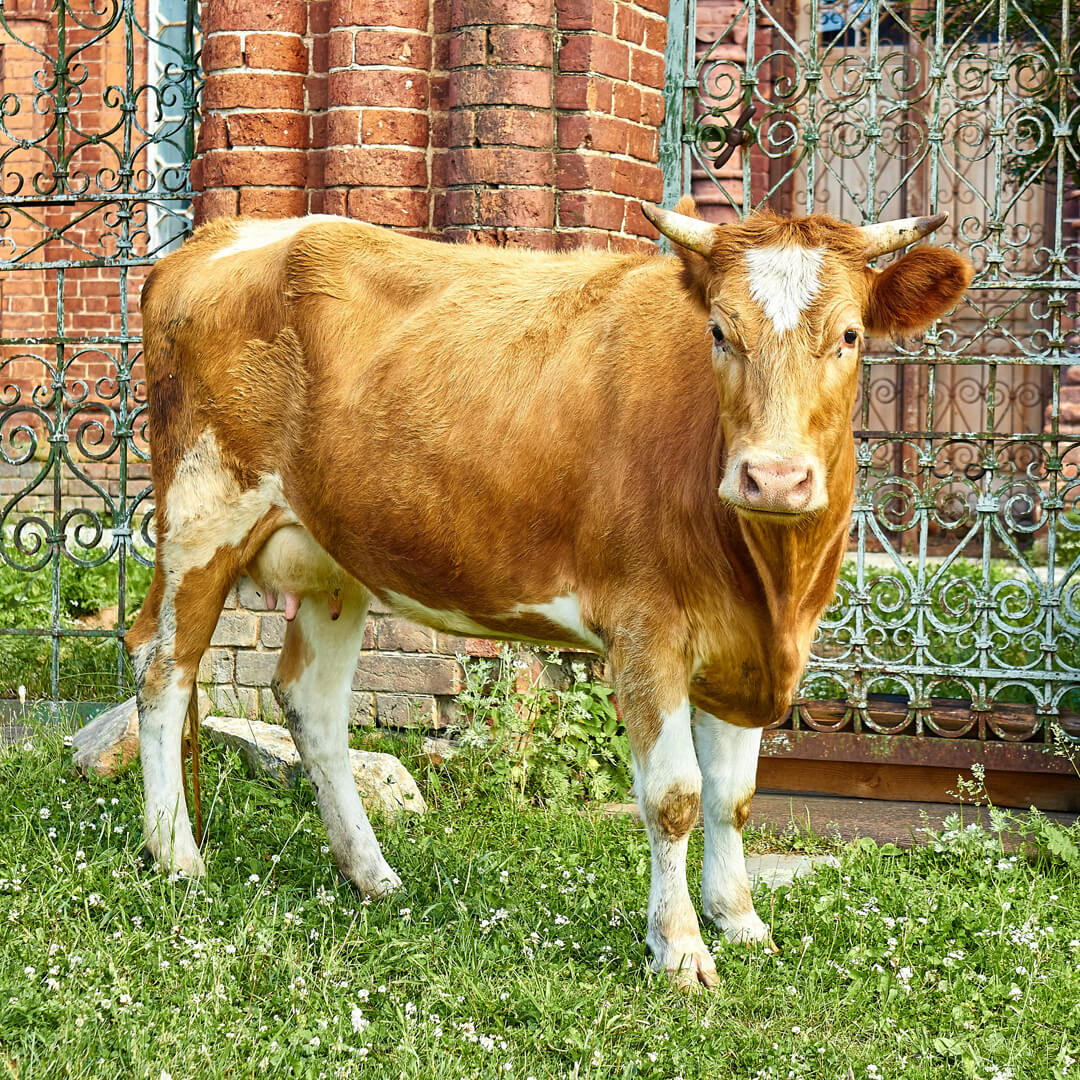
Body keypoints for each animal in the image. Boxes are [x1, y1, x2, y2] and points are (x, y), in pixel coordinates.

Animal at [124, 198, 972, 989]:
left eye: (851, 336)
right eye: (720, 332)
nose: (774, 476)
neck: (773, 584)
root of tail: (225, 236)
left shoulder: (743, 646)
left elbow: (733, 795)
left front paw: (739, 920)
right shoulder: (645, 628)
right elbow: (675, 795)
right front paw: (680, 948)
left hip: (336, 558)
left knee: (311, 704)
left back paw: (370, 873)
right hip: (202, 514)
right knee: (162, 667)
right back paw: (176, 855)